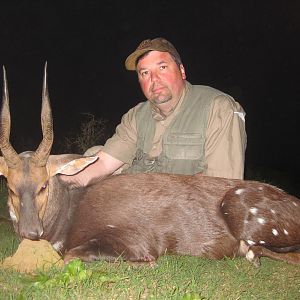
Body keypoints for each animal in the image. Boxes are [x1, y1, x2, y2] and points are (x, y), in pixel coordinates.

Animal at [0, 64, 300, 266]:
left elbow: (70, 257)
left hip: (244, 212)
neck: (69, 217)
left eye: (43, 185)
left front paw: (147, 263)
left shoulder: (132, 240)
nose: (31, 232)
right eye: (11, 188)